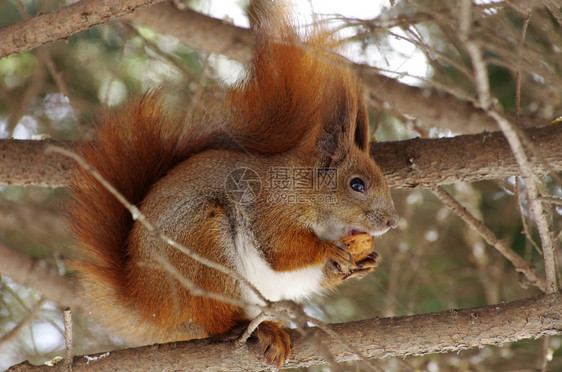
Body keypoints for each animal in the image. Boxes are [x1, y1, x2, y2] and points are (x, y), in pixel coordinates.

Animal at [66, 0, 398, 366]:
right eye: (357, 184)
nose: (392, 221)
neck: (305, 190)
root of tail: (146, 300)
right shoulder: (270, 209)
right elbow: (280, 251)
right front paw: (328, 250)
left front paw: (366, 261)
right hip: (201, 244)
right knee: (214, 318)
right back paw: (253, 329)